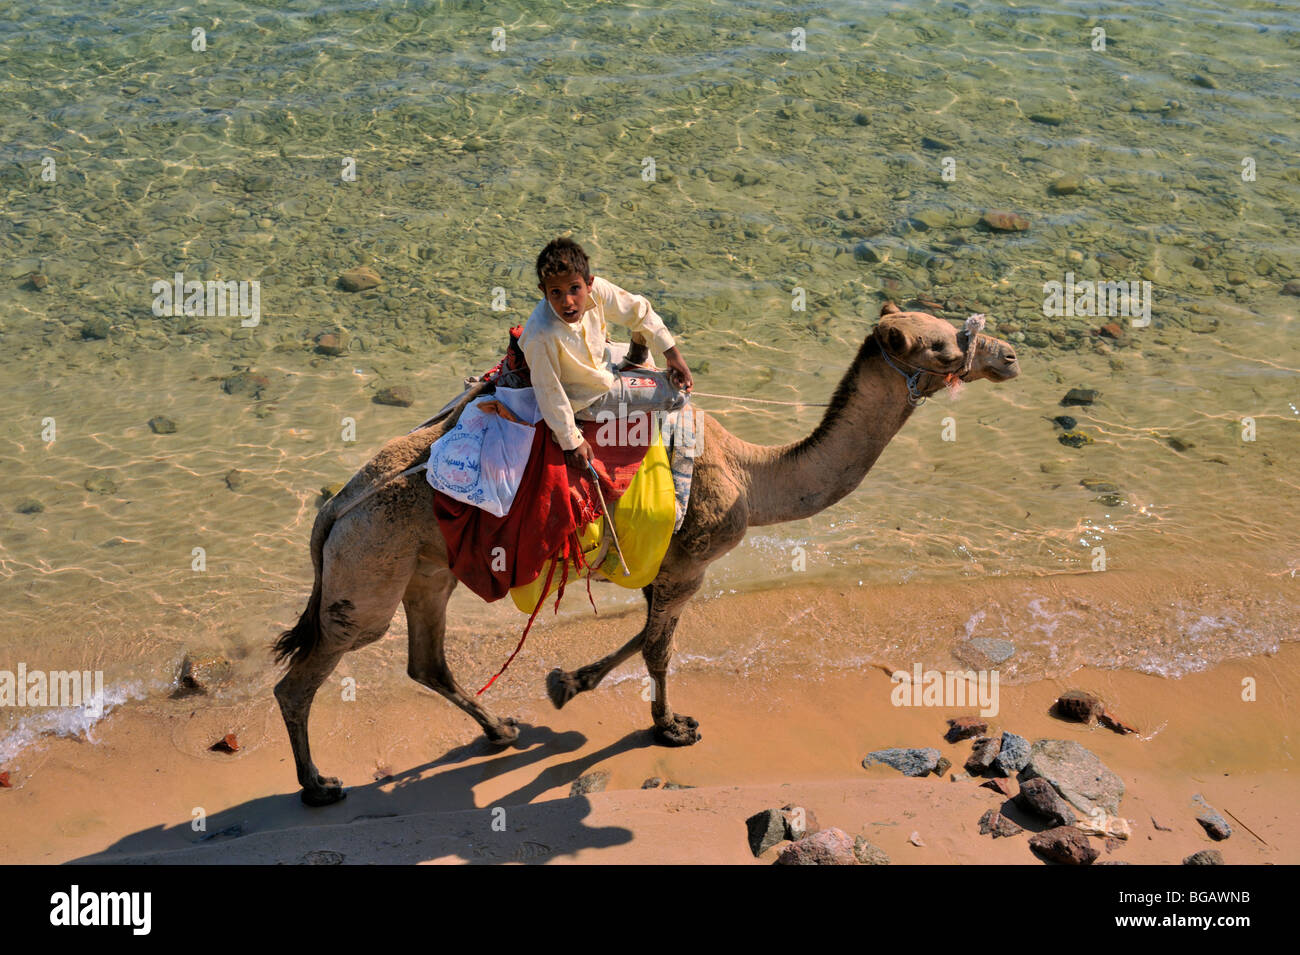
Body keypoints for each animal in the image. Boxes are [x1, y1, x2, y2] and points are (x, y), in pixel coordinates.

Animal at [272, 305, 1019, 805]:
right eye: (945, 345)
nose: (1009, 354)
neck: (753, 476)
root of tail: (335, 509)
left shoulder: (660, 567)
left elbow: (645, 635)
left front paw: (567, 686)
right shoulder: (690, 563)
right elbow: (658, 645)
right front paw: (663, 724)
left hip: (426, 568)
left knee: (425, 658)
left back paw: (500, 730)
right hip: (365, 570)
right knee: (306, 673)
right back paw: (318, 784)